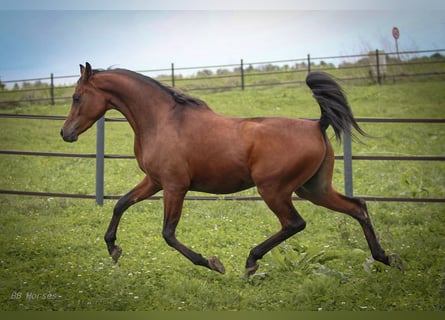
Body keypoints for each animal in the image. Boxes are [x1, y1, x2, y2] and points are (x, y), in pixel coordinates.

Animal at [59, 63, 402, 276]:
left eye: (76, 97)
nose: (66, 133)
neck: (162, 120)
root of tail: (317, 124)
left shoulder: (174, 186)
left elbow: (168, 233)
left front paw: (213, 263)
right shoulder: (154, 181)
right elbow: (120, 204)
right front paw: (113, 249)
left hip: (274, 190)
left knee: (295, 223)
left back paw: (251, 262)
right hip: (314, 188)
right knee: (357, 207)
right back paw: (386, 258)